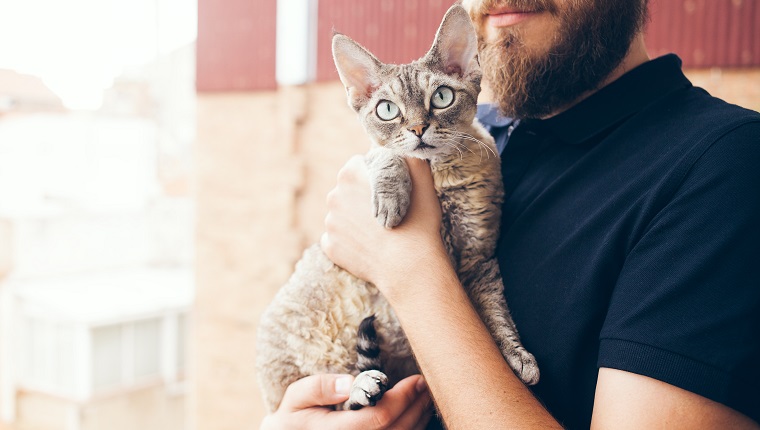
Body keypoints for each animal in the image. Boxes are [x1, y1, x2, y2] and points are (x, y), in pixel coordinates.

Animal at [258, 4, 536, 414]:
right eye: (387, 109)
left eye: (442, 97)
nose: (419, 128)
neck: (440, 174)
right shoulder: (366, 156)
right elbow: (388, 155)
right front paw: (391, 199)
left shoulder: (479, 258)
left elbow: (496, 311)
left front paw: (515, 354)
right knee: (335, 397)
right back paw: (360, 387)